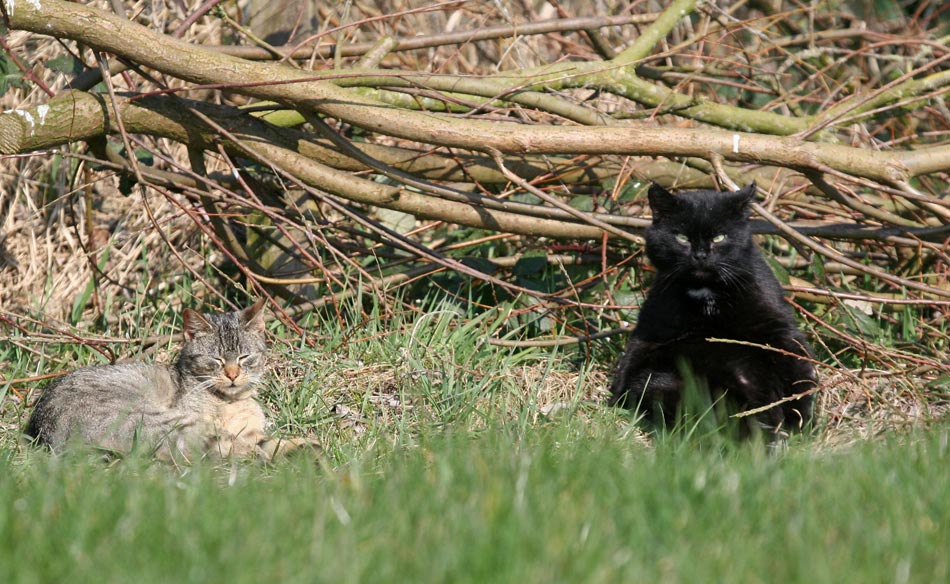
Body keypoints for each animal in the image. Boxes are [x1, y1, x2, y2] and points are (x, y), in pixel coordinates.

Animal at [608, 182, 820, 434]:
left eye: (719, 237)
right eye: (682, 237)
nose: (700, 255)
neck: (706, 292)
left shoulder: (777, 327)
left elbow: (797, 368)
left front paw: (801, 423)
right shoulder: (653, 329)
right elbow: (631, 357)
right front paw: (614, 401)